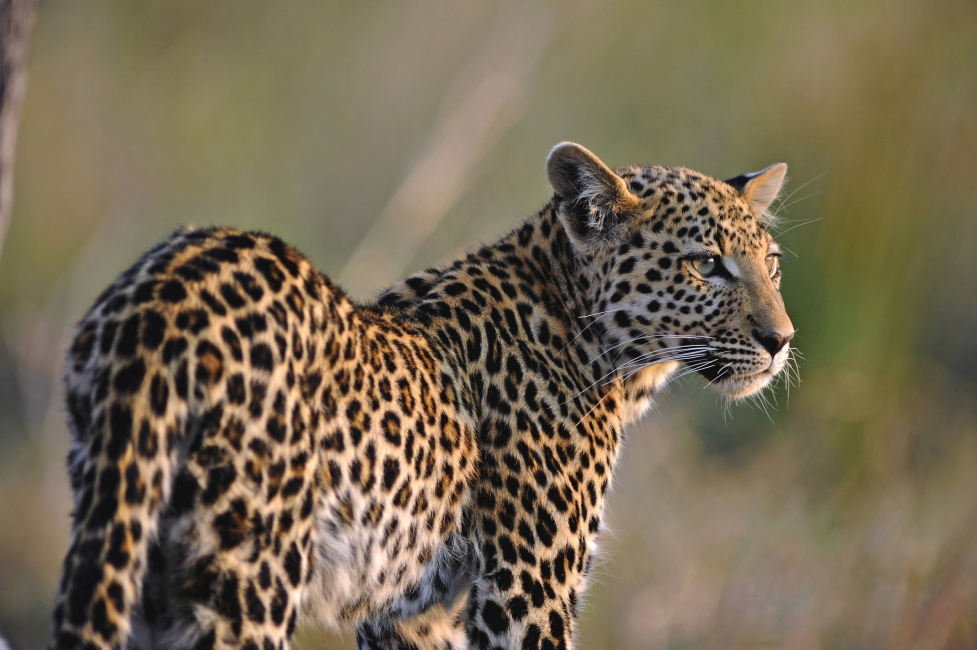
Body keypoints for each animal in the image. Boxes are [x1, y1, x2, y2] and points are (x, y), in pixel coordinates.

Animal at [50, 142, 794, 650]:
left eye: (772, 264)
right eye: (705, 265)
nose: (781, 339)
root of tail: (163, 295)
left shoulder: (413, 611)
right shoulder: (526, 592)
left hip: (127, 536)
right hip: (248, 571)